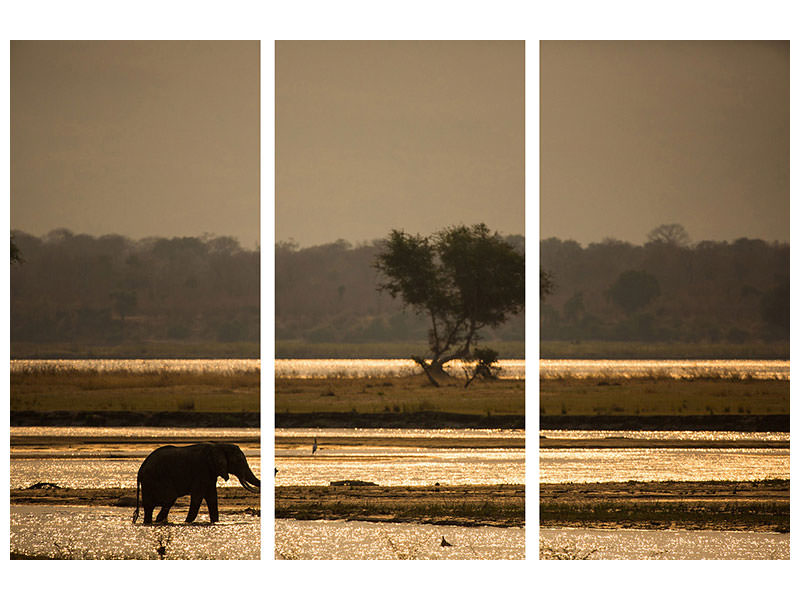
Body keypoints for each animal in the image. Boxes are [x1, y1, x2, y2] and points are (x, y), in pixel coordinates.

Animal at [132, 440, 260, 524]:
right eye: (239, 461)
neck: (218, 445)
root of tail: (140, 469)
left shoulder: (210, 473)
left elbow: (212, 498)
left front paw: (215, 522)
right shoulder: (201, 470)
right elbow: (198, 497)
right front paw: (187, 522)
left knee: (150, 507)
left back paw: (150, 523)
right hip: (156, 479)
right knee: (169, 499)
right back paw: (158, 521)